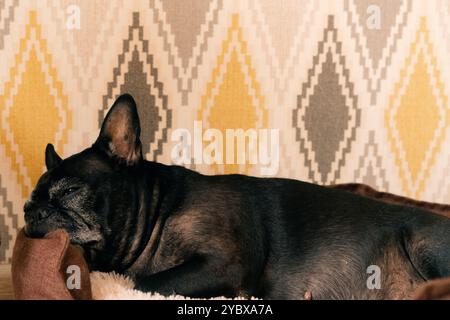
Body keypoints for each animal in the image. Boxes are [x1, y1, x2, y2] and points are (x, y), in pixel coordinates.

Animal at [22, 94, 450, 298]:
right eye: (30, 200)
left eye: (70, 191)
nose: (31, 212)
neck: (160, 213)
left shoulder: (225, 263)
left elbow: (141, 283)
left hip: (424, 243)